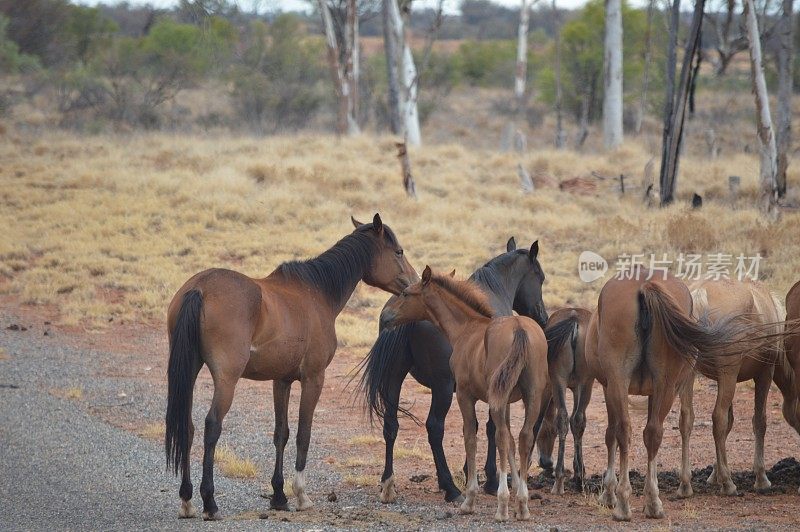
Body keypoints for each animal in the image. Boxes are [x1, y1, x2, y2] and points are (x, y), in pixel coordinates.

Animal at [166, 214, 422, 516]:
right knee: (211, 426)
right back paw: (209, 502)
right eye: (399, 252)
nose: (415, 283)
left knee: (187, 427)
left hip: (189, 372)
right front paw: (300, 494)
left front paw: (279, 495)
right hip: (226, 379)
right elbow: (303, 433)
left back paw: (187, 500)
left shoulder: (282, 380)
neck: (317, 292)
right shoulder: (313, 378)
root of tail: (199, 288)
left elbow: (281, 434)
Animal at [360, 237, 548, 502]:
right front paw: (490, 480)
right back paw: (449, 487)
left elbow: (478, 427)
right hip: (443, 387)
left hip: (394, 379)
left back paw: (388, 484)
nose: (543, 316)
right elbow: (491, 428)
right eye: (540, 277)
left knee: (390, 425)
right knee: (434, 428)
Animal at [536, 308, 592, 494]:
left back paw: (561, 478)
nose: (544, 461)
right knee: (575, 419)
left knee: (566, 419)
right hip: (584, 382)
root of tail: (573, 319)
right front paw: (578, 471)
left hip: (560, 380)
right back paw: (571, 478)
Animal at [684, 278, 784, 494]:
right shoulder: (764, 374)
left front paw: (714, 475)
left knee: (687, 419)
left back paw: (685, 485)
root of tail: (700, 293)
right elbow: (759, 421)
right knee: (718, 418)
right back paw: (728, 484)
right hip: (729, 375)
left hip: (691, 374)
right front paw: (761, 478)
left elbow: (729, 424)